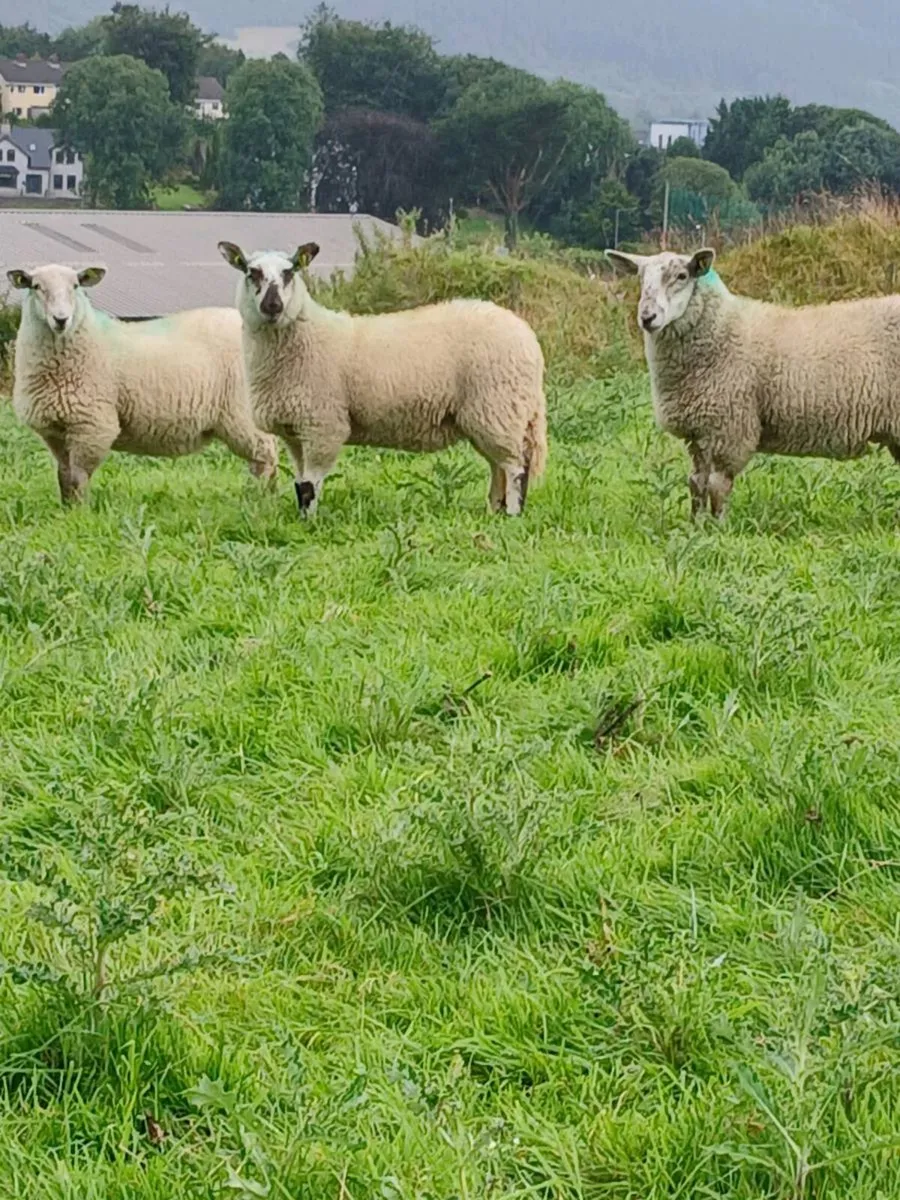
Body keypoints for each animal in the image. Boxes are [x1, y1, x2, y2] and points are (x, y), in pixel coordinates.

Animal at [7, 263, 279, 505]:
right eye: (36, 286)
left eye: (75, 286)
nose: (61, 319)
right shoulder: (55, 431)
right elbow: (64, 477)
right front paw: (66, 512)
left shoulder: (94, 425)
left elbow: (78, 478)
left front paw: (80, 513)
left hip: (242, 412)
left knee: (265, 457)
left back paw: (262, 500)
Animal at [217, 240, 547, 517]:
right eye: (251, 272)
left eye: (290, 272)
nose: (272, 306)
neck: (305, 335)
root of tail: (528, 337)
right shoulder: (295, 432)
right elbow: (300, 485)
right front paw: (301, 521)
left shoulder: (323, 426)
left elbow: (310, 486)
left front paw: (310, 524)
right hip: (487, 417)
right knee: (498, 466)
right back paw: (494, 511)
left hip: (498, 407)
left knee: (516, 467)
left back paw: (512, 515)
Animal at [606, 246, 900, 520]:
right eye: (641, 277)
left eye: (682, 276)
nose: (647, 317)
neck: (722, 329)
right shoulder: (698, 433)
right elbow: (696, 484)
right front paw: (695, 526)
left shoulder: (728, 428)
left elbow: (717, 486)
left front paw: (718, 529)